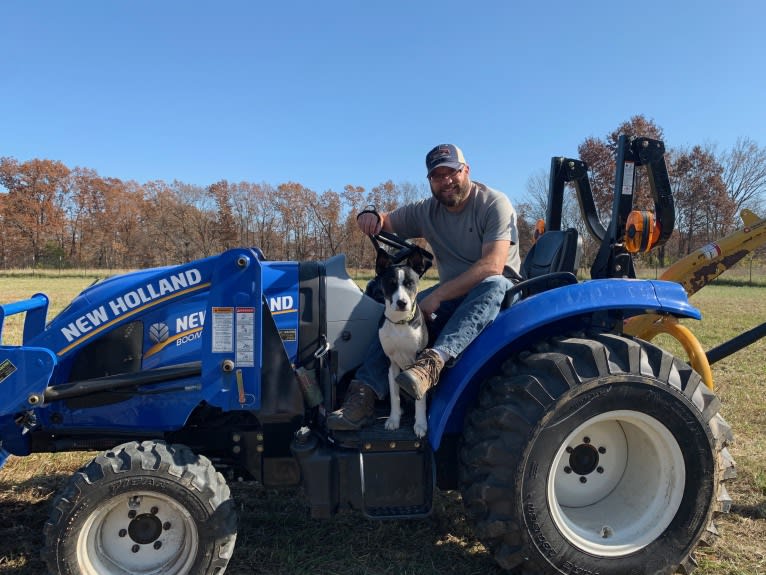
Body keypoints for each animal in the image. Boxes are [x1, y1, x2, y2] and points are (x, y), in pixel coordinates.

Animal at [374, 250, 432, 438]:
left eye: (410, 283)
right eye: (391, 284)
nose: (402, 303)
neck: (400, 323)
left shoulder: (420, 362)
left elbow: (420, 395)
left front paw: (420, 424)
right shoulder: (391, 363)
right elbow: (394, 395)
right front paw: (393, 419)